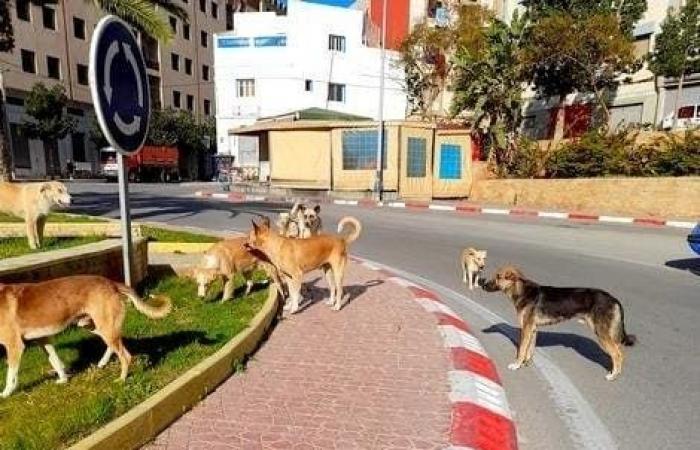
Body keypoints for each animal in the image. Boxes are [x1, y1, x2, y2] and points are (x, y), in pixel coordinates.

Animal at [0, 274, 171, 398]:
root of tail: (111, 283)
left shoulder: (14, 346)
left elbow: (10, 375)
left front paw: (6, 393)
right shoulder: (43, 340)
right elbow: (55, 361)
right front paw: (63, 379)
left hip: (103, 326)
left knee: (125, 356)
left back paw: (122, 379)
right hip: (94, 326)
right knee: (114, 344)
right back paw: (102, 362)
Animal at [482, 266, 636, 382]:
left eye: (498, 277)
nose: (482, 284)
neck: (522, 291)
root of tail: (613, 299)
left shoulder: (526, 329)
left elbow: (521, 350)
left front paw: (516, 365)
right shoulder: (533, 329)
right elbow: (529, 350)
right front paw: (526, 363)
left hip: (602, 334)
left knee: (617, 355)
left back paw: (613, 376)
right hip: (609, 334)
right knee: (618, 353)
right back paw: (615, 372)